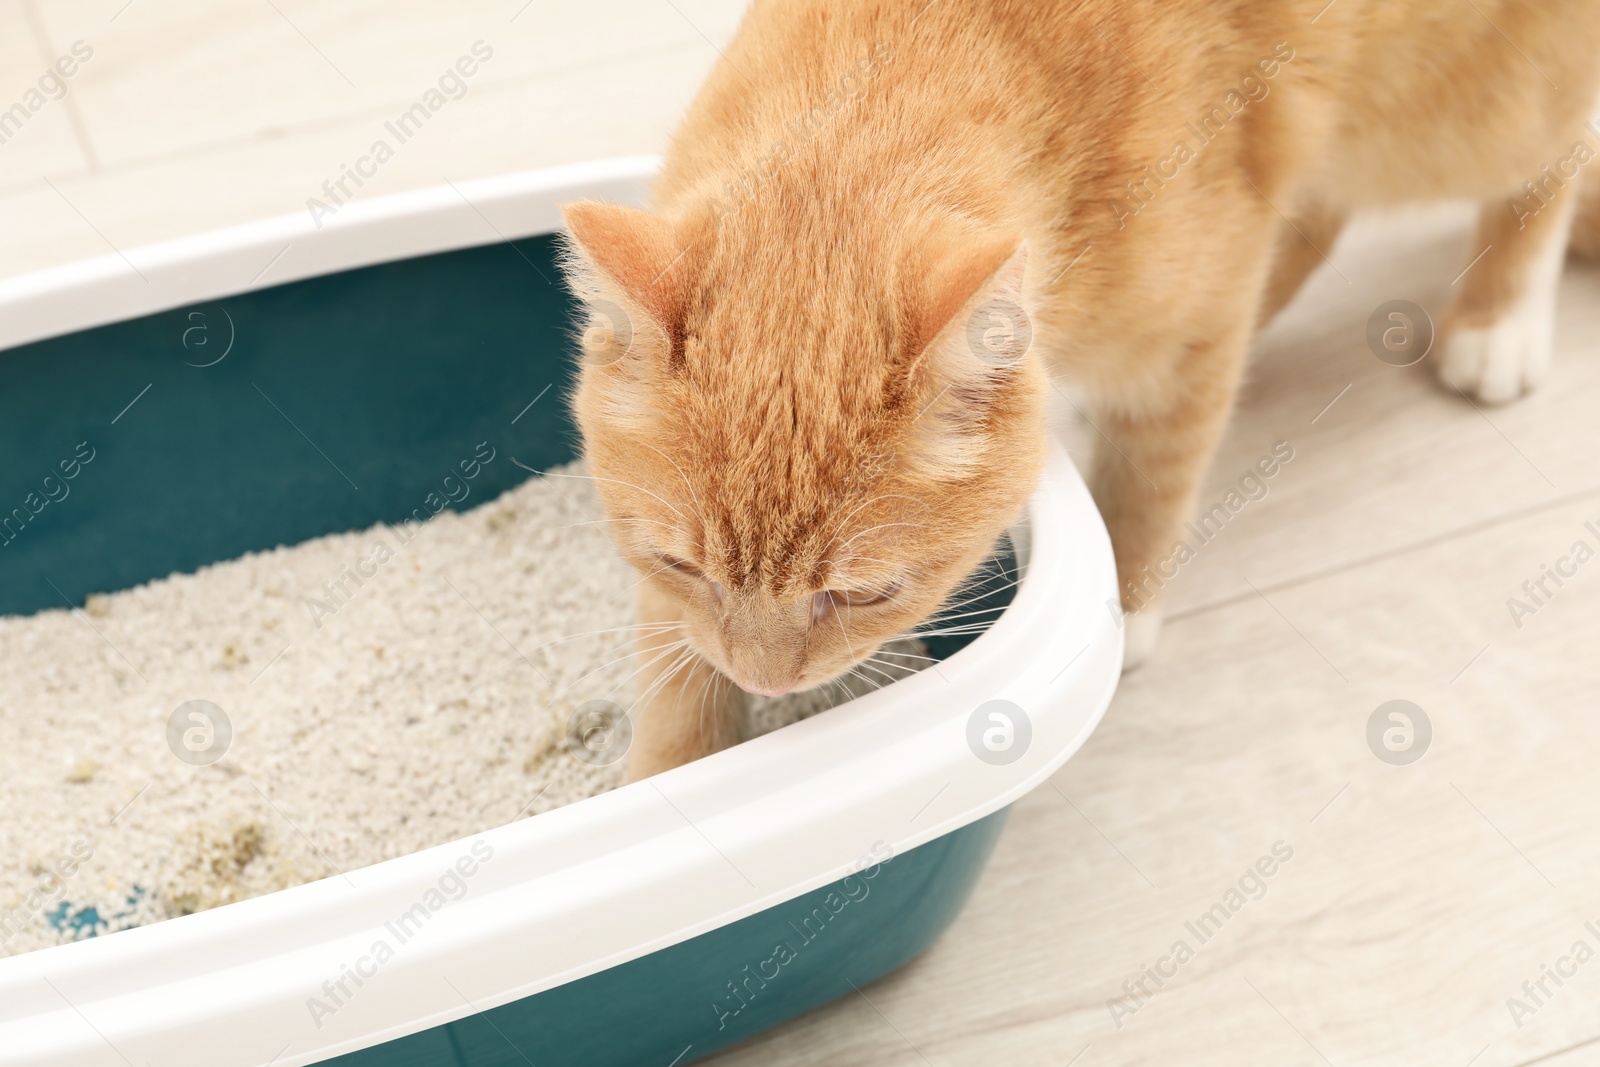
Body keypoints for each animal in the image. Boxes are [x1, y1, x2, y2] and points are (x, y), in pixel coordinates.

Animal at [560, 0, 1600, 777]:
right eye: (680, 562)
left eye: (863, 593)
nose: (765, 682)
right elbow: (672, 662)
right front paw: (671, 778)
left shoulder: (1191, 332)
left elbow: (1151, 480)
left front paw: (1124, 611)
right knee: (1315, 216)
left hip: (1469, 118)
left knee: (1561, 149)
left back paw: (1500, 316)